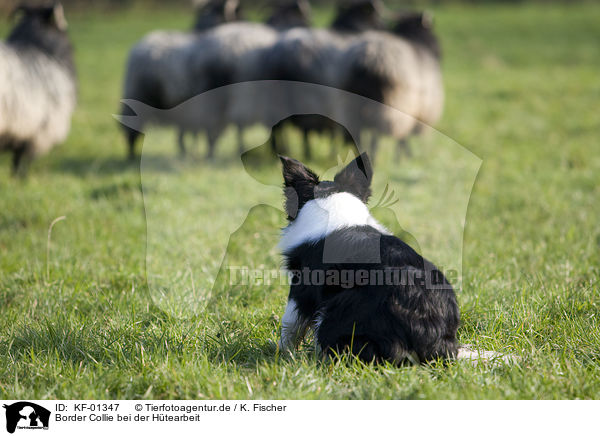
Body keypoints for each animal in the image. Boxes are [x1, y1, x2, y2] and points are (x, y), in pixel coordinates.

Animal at [119, 0, 239, 159]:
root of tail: (139, 46)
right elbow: (210, 134)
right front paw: (208, 155)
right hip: (138, 96)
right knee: (131, 129)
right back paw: (132, 157)